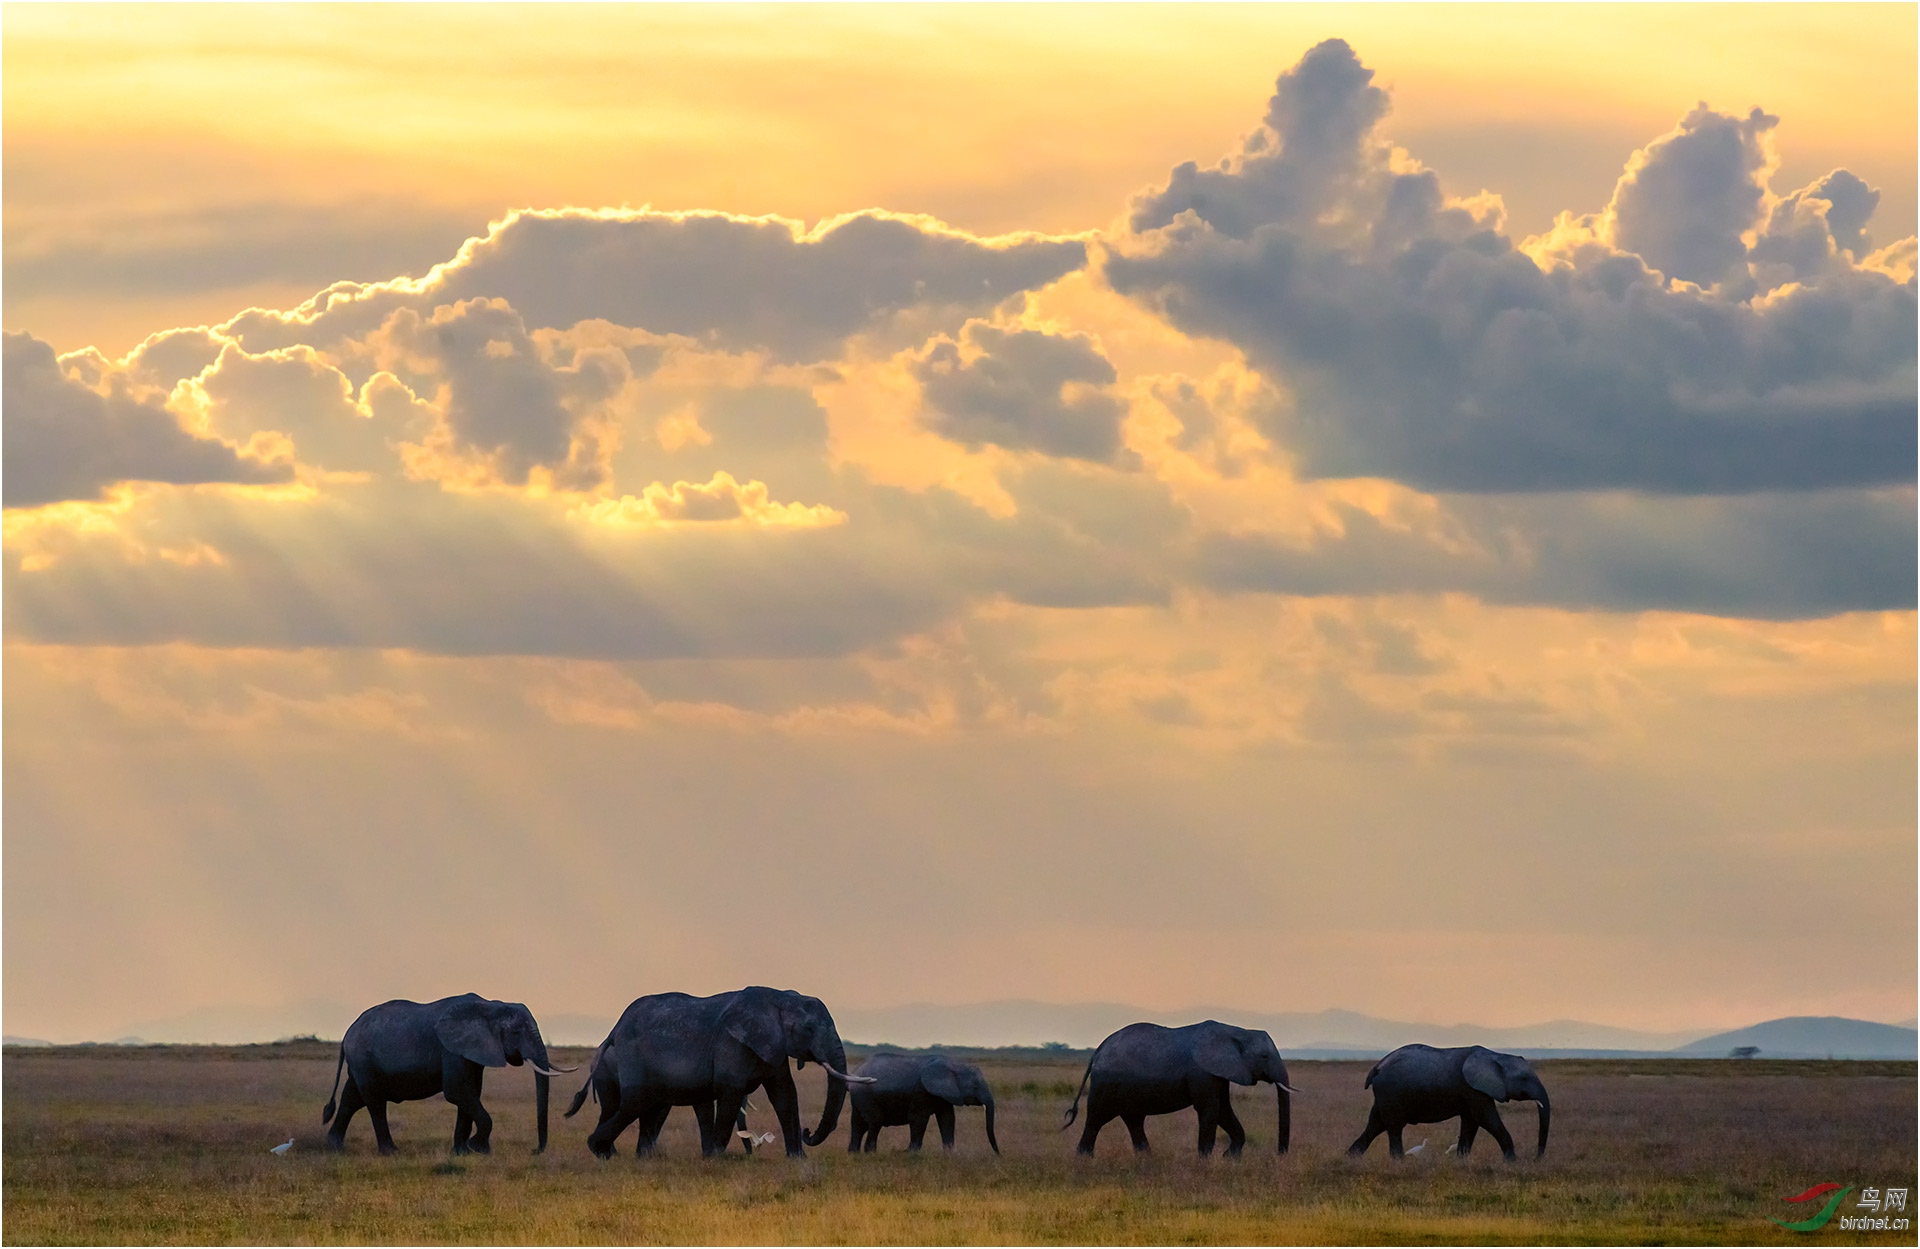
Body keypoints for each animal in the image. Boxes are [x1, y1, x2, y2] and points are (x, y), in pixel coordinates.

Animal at [320, 989, 568, 1158]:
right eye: (516, 1032)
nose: (534, 1151)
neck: (490, 1005)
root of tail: (347, 1033)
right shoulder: (450, 1049)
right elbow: (457, 1091)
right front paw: (478, 1148)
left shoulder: (470, 1051)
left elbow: (471, 1092)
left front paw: (462, 1152)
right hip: (363, 1058)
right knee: (374, 1101)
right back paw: (391, 1152)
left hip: (362, 1062)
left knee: (352, 1098)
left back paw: (335, 1147)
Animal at [564, 989, 875, 1166]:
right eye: (809, 1029)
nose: (808, 1132)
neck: (782, 998)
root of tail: (614, 1028)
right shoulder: (731, 1043)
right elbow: (731, 1092)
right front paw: (715, 1158)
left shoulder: (771, 1045)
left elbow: (785, 1094)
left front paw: (798, 1160)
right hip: (633, 1053)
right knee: (635, 1102)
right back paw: (600, 1151)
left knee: (647, 1106)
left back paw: (639, 1158)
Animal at [856, 1059, 1006, 1151]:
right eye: (975, 1087)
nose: (998, 1154)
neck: (954, 1066)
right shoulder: (921, 1091)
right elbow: (919, 1119)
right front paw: (909, 1153)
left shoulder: (944, 1094)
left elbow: (947, 1119)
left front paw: (949, 1155)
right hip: (866, 1096)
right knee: (875, 1122)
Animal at [1059, 1020, 1297, 1158]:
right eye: (1264, 1056)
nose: (1279, 1156)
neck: (1236, 1031)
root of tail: (1098, 1050)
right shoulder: (1202, 1072)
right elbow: (1210, 1110)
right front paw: (1205, 1163)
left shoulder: (1218, 1073)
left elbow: (1222, 1109)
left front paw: (1229, 1158)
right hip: (1106, 1083)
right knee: (1097, 1118)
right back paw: (1084, 1160)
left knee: (1133, 1120)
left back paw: (1146, 1160)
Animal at [1344, 1043, 1551, 1166]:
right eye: (1524, 1078)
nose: (1536, 1159)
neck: (1496, 1055)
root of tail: (1377, 1067)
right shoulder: (1473, 1089)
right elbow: (1486, 1119)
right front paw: (1512, 1163)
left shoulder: (1472, 1092)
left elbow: (1471, 1123)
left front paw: (1461, 1162)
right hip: (1390, 1091)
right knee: (1393, 1127)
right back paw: (1399, 1162)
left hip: (1385, 1095)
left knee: (1375, 1125)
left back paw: (1350, 1158)